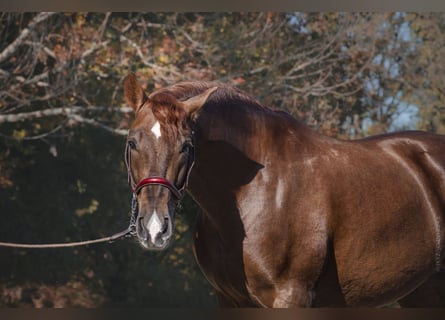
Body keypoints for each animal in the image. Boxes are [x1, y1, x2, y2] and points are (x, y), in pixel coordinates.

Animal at [122, 72, 444, 308]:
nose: (154, 228)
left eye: (187, 147)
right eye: (132, 142)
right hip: (422, 292)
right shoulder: (230, 300)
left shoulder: (291, 296)